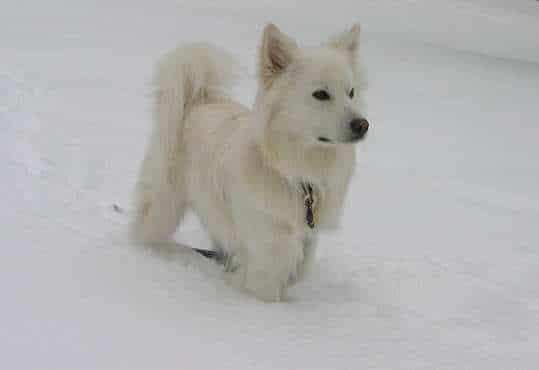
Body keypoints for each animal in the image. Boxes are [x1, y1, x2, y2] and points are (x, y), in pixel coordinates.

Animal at [131, 23, 370, 300]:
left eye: (351, 93)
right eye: (320, 94)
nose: (363, 125)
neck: (296, 174)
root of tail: (198, 101)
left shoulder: (306, 240)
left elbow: (298, 273)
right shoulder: (267, 255)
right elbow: (267, 288)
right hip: (163, 208)